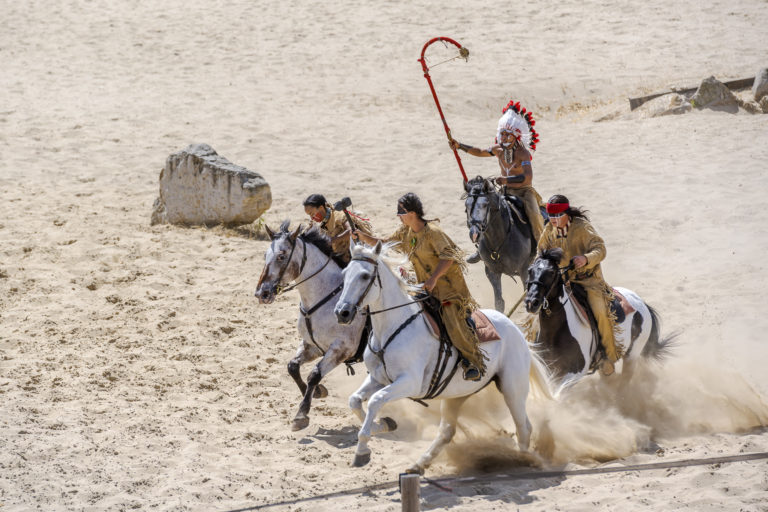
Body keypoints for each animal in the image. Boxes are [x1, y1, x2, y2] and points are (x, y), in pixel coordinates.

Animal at [255, 221, 368, 432]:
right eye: (265, 255)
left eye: (281, 255)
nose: (261, 294)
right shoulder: (311, 345)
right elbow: (292, 366)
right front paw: (318, 392)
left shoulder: (341, 350)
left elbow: (314, 374)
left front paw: (301, 415)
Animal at [334, 242, 552, 474]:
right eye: (344, 273)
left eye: (365, 276)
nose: (342, 313)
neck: (392, 328)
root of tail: (518, 332)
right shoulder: (378, 378)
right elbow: (355, 401)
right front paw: (385, 423)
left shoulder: (409, 383)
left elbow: (375, 400)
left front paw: (362, 451)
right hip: (456, 395)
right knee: (447, 432)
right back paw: (419, 464)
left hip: (512, 389)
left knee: (524, 427)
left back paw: (524, 460)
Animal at [464, 176, 536, 312]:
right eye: (466, 206)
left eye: (485, 204)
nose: (474, 234)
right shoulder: (492, 272)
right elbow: (499, 302)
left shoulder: (524, 270)